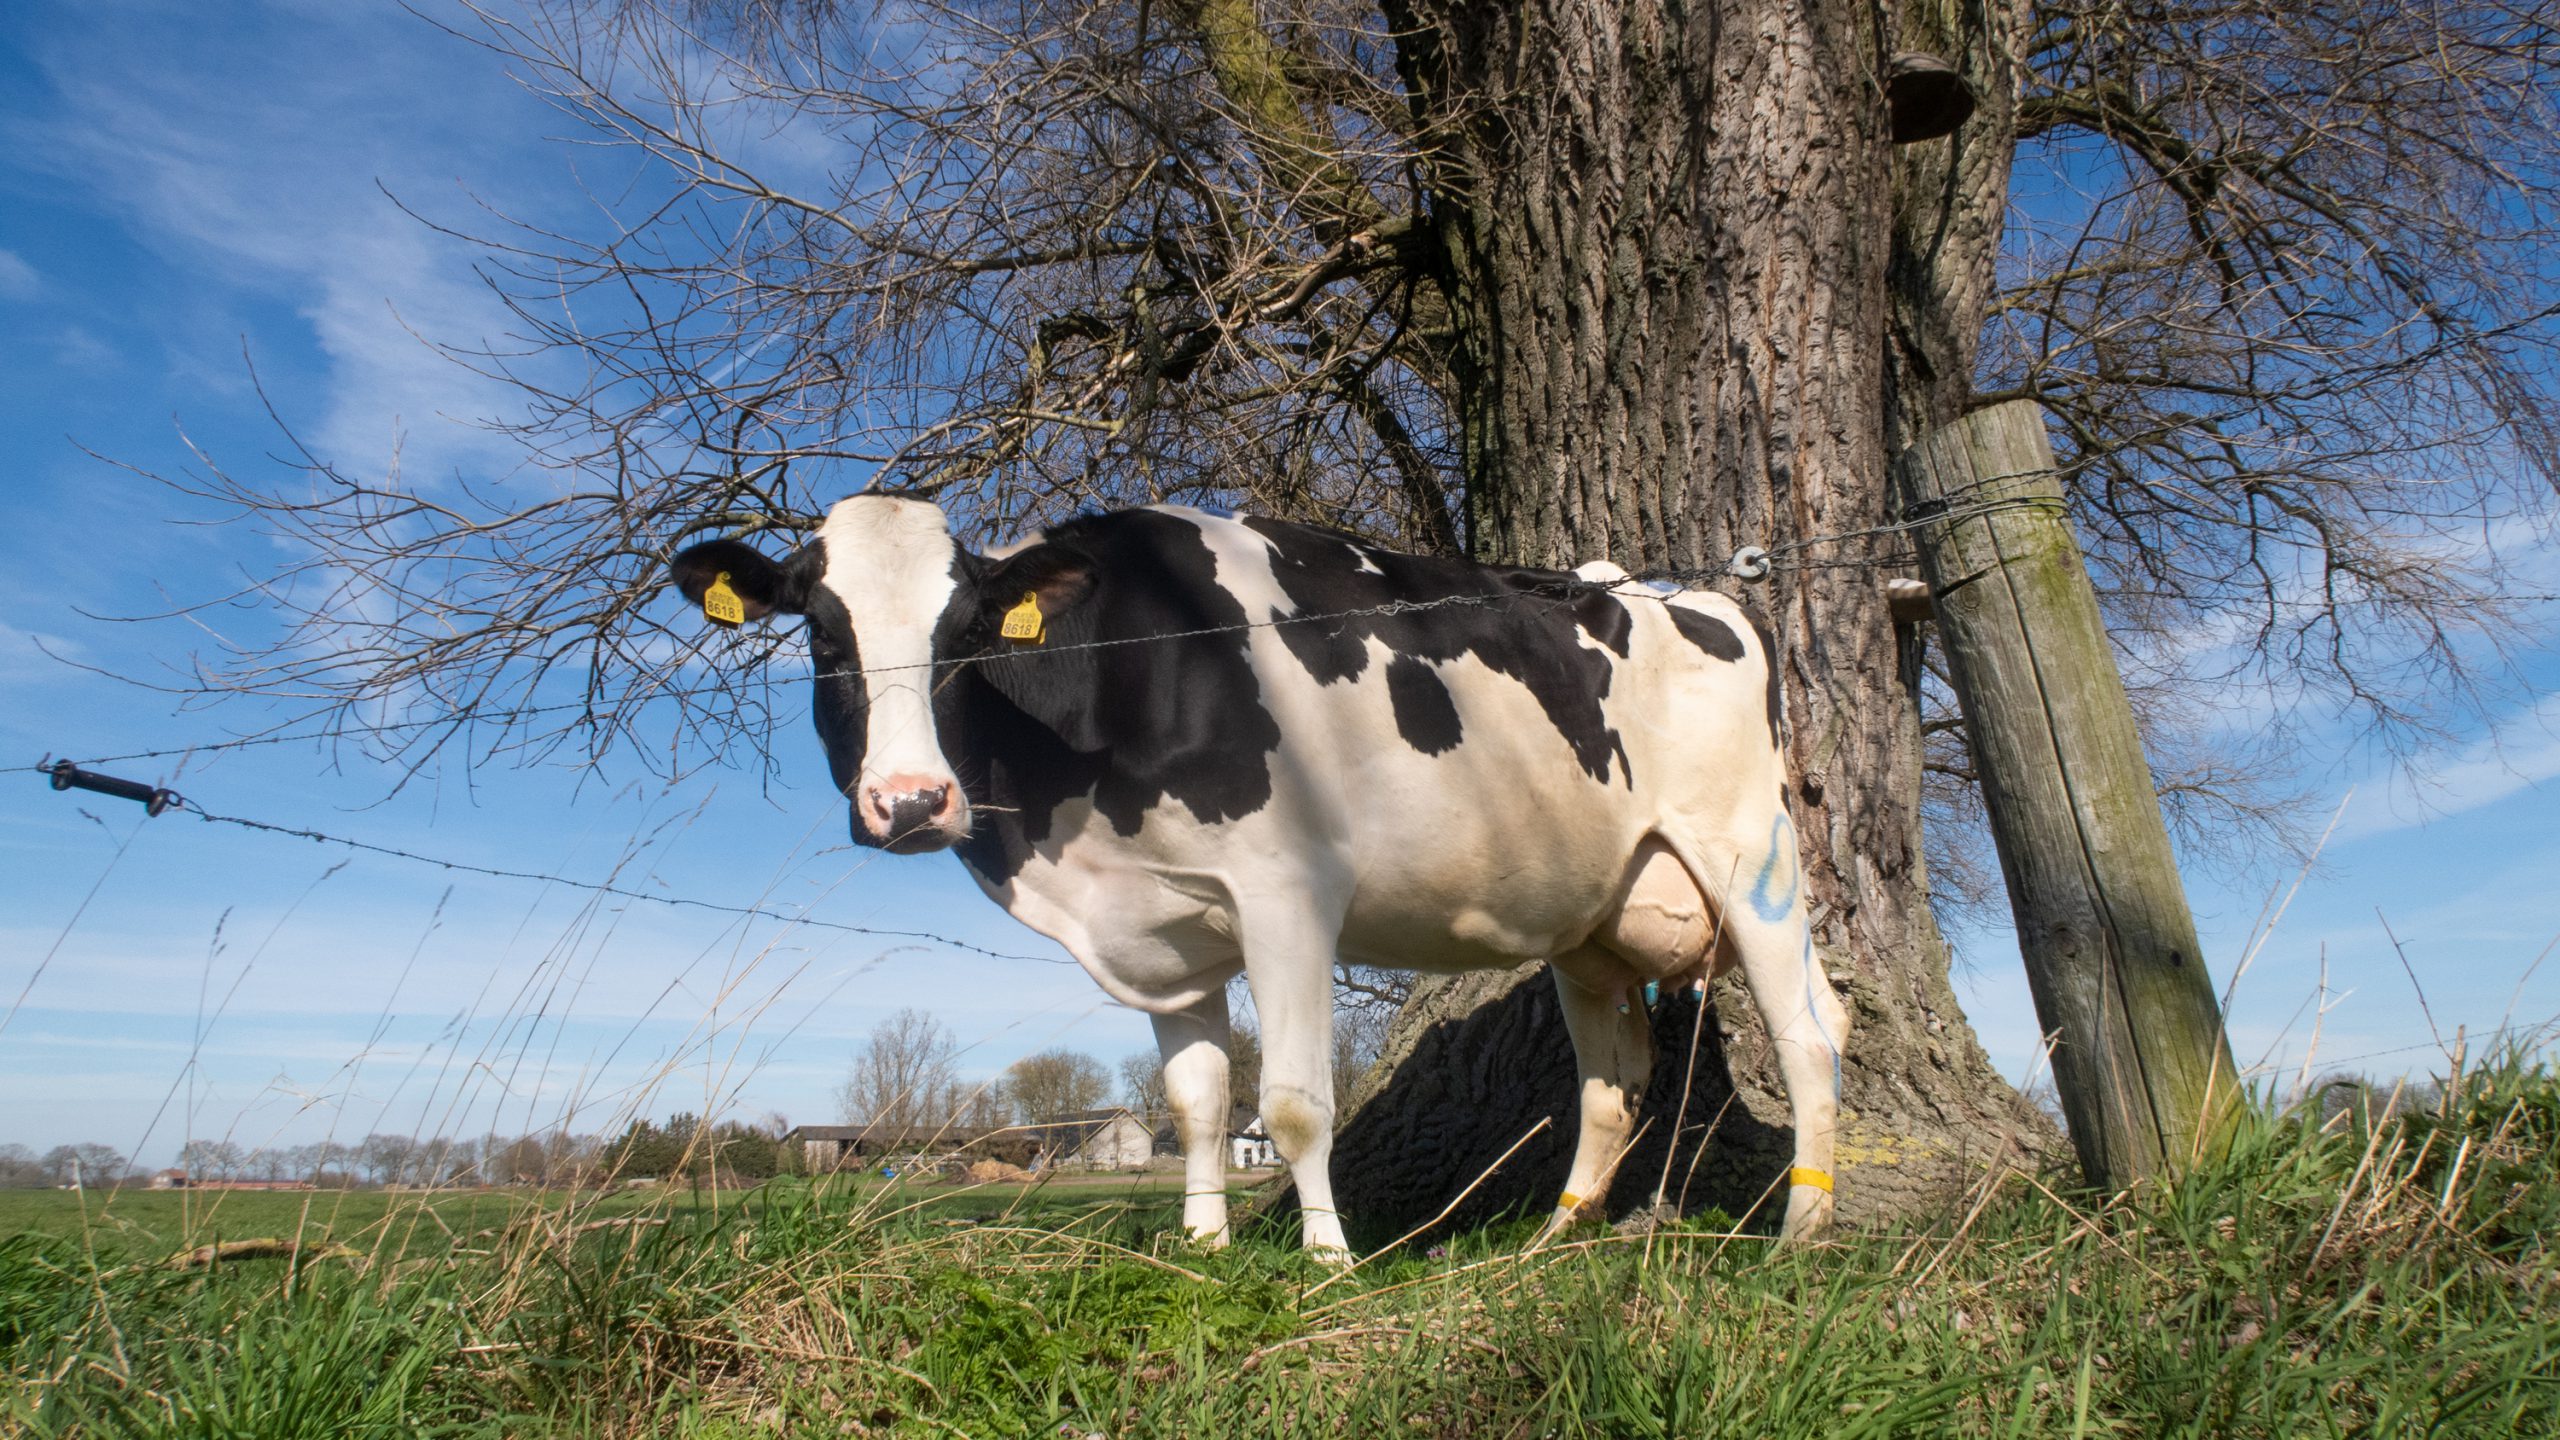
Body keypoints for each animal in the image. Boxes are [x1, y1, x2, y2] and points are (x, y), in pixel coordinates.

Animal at [675, 489, 1843, 1245]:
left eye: (968, 632)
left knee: (1809, 1035)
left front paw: (1327, 1262)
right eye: (820, 634)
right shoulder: (1166, 932)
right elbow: (1197, 1101)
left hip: (1750, 857)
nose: (911, 801)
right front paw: (1203, 1251)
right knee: (1614, 1080)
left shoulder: (1288, 893)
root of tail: (1691, 596)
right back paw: (1558, 1235)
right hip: (1595, 918)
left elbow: (1289, 1105)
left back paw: (1802, 1228)